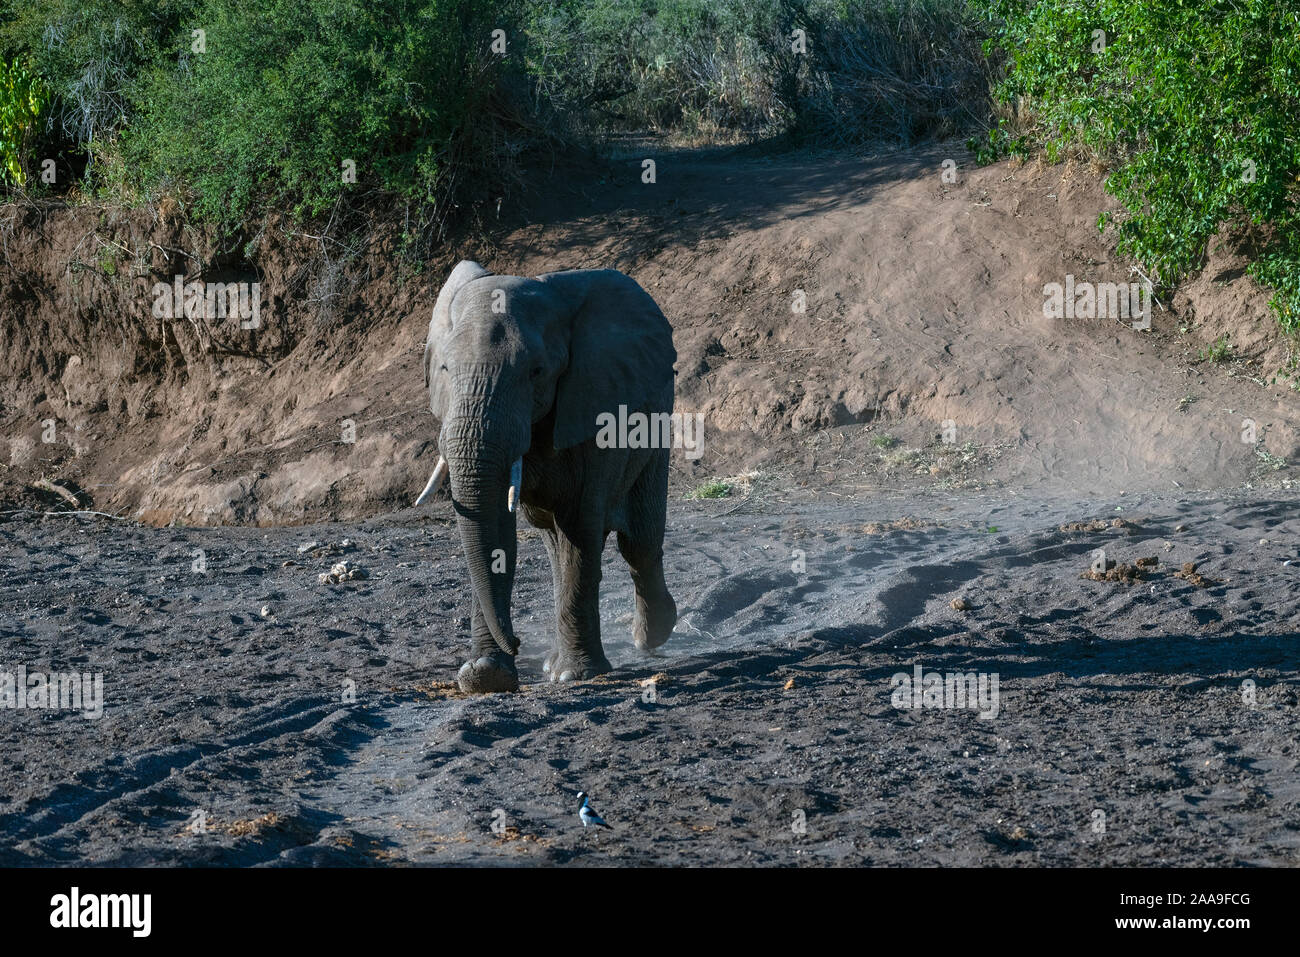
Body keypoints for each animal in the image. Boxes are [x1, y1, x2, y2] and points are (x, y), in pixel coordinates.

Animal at [418, 260, 681, 696]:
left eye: (536, 371)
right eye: (445, 369)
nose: (517, 640)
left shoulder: (594, 399)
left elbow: (580, 525)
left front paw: (575, 675)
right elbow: (498, 531)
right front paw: (484, 676)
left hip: (658, 419)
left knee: (638, 541)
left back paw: (651, 636)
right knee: (554, 540)